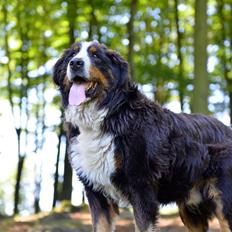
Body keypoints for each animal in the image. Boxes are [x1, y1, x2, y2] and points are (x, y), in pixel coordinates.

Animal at [53, 40, 232, 232]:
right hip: (191, 208)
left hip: (224, 203)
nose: (75, 63)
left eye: (95, 55)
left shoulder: (141, 189)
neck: (109, 114)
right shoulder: (96, 194)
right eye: (72, 55)